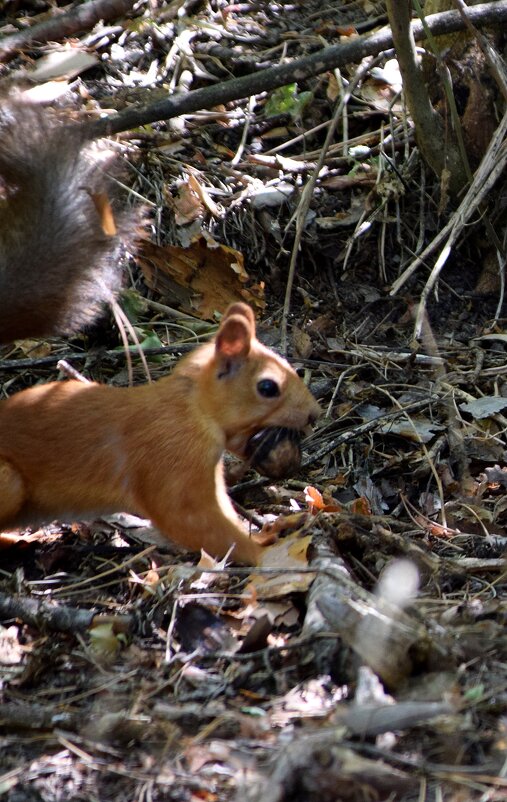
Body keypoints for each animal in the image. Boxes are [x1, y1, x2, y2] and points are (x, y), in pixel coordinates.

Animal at [0, 304, 322, 564]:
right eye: (268, 387)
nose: (314, 413)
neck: (190, 408)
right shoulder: (171, 459)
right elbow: (191, 520)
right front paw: (267, 554)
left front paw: (267, 531)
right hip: (9, 482)